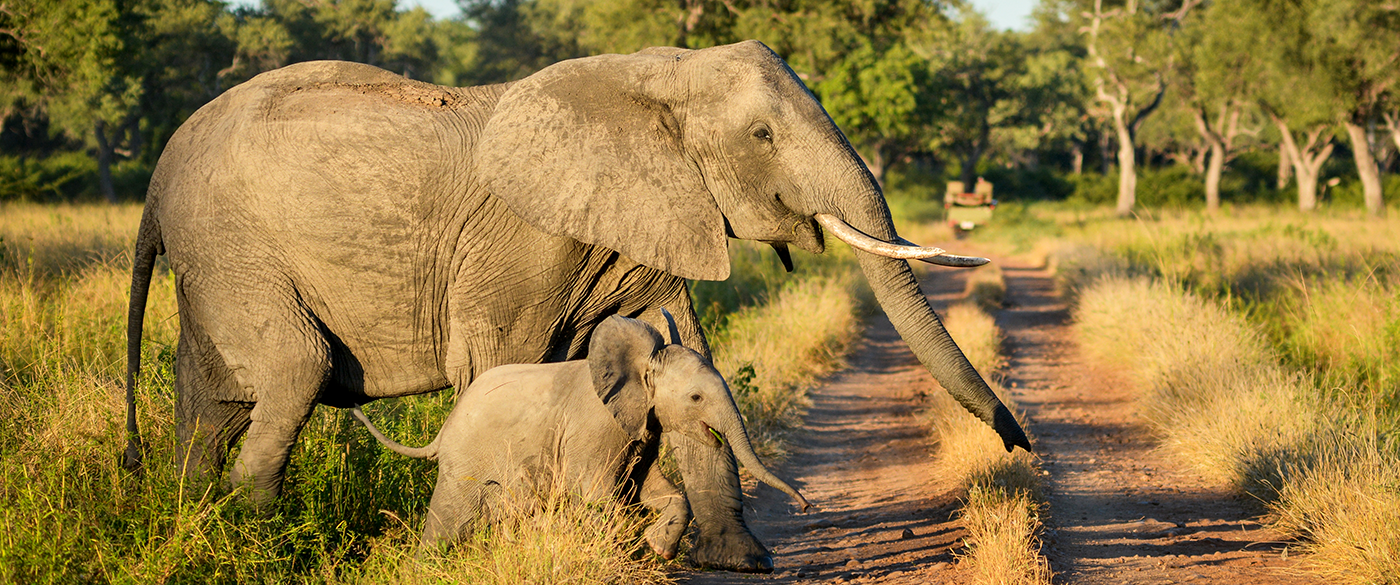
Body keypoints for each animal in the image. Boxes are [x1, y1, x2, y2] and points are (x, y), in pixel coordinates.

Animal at [352, 313, 812, 554]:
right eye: (696, 397)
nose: (806, 506)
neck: (641, 364)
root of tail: (444, 429)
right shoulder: (595, 427)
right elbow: (597, 493)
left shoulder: (641, 428)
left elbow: (650, 487)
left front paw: (657, 546)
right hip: (467, 463)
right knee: (448, 522)